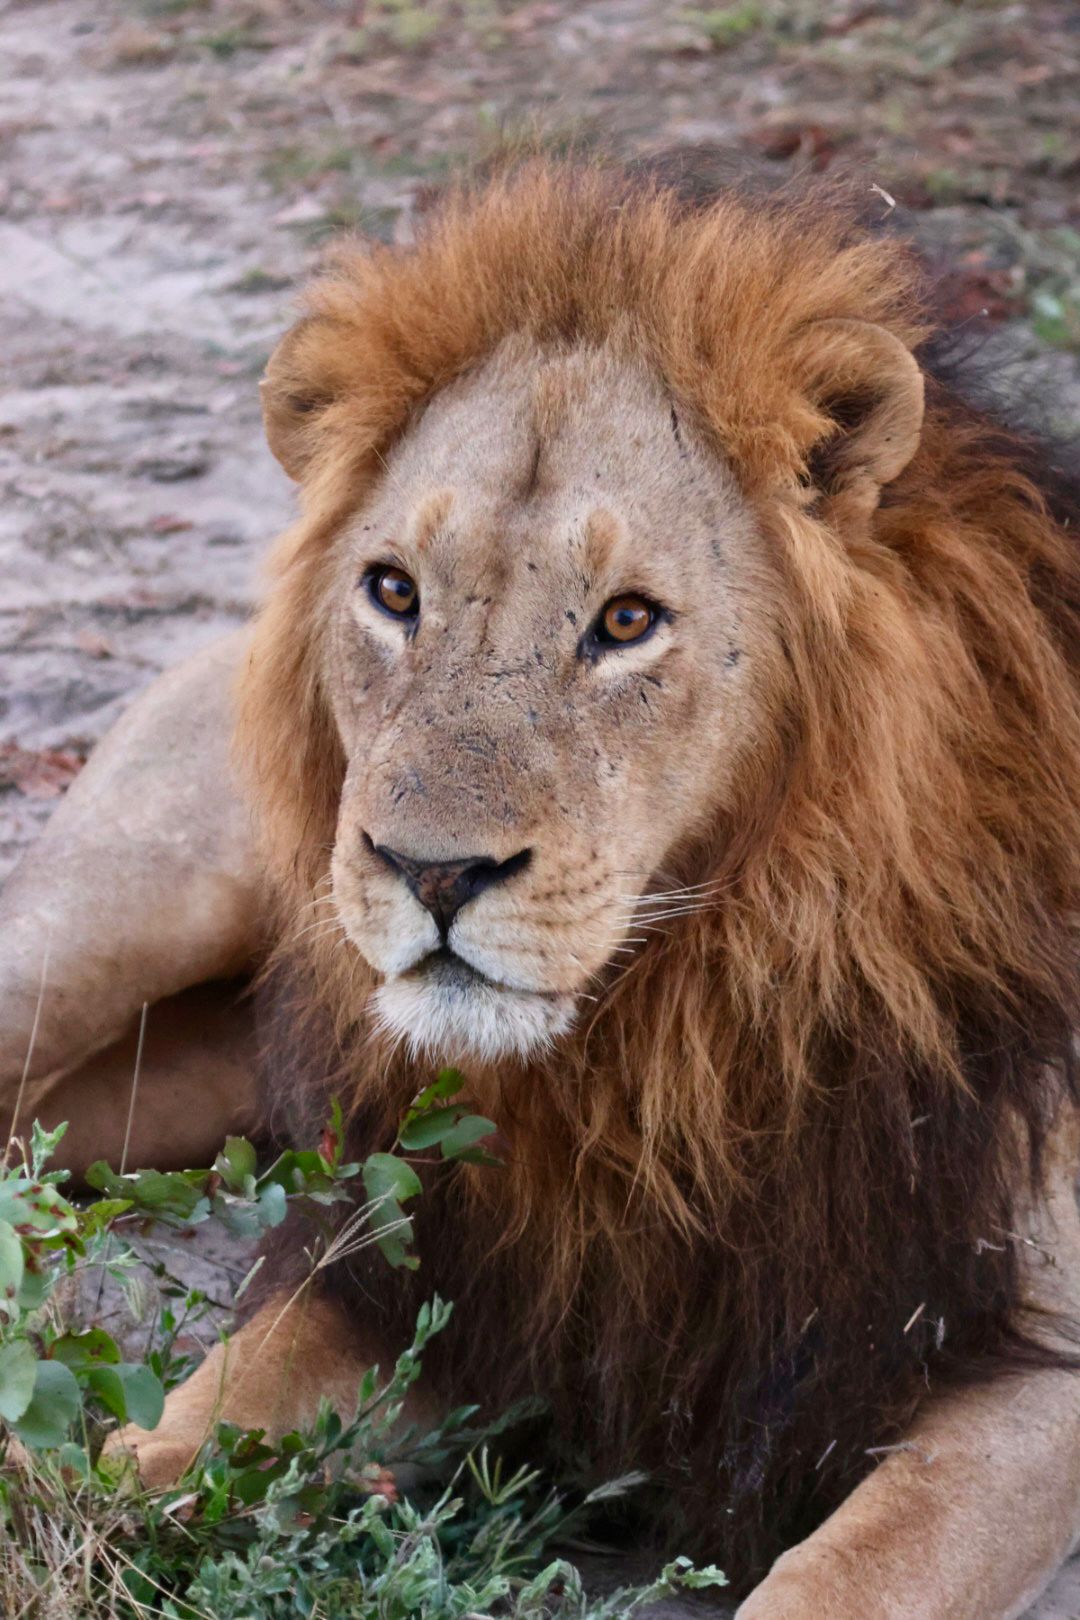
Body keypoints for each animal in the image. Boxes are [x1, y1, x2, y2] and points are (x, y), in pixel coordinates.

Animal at [3, 156, 1080, 1616]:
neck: (677, 1030)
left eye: (626, 621)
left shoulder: (1033, 1363)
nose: (430, 869)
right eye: (393, 592)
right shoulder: (431, 1275)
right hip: (120, 908)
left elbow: (853, 1575)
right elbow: (179, 1438)